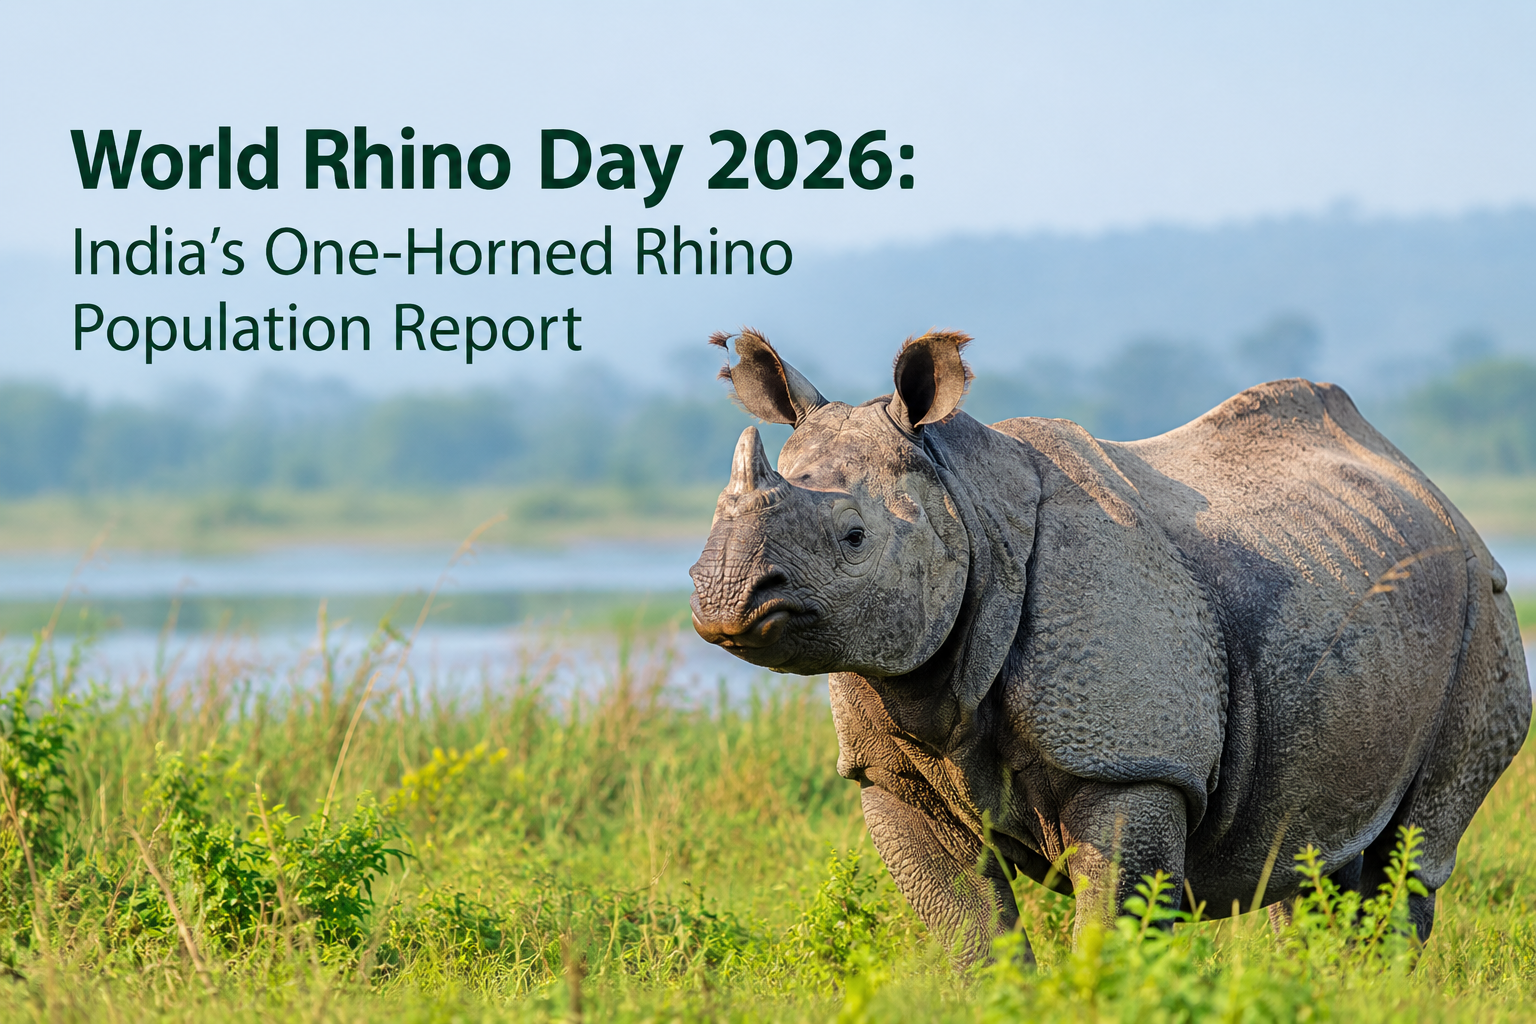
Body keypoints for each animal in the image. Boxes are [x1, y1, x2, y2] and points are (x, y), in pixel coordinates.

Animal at [689, 328, 1531, 963]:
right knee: (1307, 857)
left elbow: (1112, 921)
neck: (963, 502)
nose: (723, 597)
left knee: (1411, 858)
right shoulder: (889, 773)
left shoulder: (1134, 762)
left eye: (855, 537)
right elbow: (971, 933)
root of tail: (1434, 493)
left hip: (1482, 612)